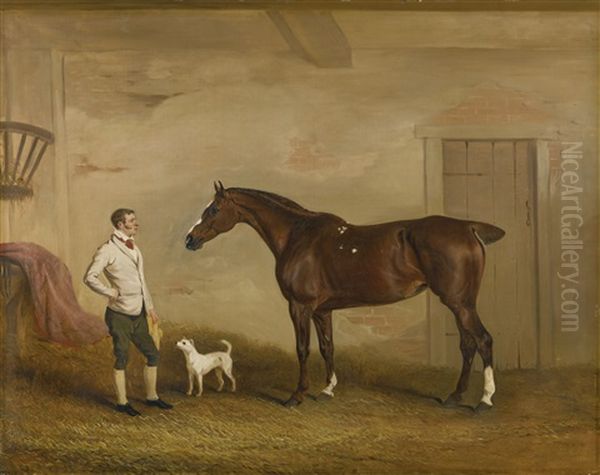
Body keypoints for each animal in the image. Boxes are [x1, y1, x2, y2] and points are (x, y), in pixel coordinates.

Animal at [185, 184, 504, 410]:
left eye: (214, 209)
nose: (190, 239)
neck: (297, 236)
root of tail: (468, 228)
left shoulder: (299, 306)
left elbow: (302, 349)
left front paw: (296, 395)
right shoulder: (322, 311)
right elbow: (328, 347)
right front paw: (327, 390)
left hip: (459, 303)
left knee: (483, 340)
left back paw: (485, 400)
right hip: (459, 304)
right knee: (467, 345)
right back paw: (454, 396)